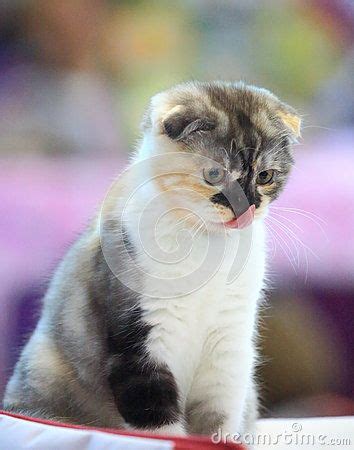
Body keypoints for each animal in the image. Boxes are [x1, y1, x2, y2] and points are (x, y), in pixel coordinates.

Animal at [3, 80, 302, 436]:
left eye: (265, 176)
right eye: (214, 174)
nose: (246, 209)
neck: (207, 242)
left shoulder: (229, 343)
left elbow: (221, 417)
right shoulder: (140, 344)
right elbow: (158, 422)